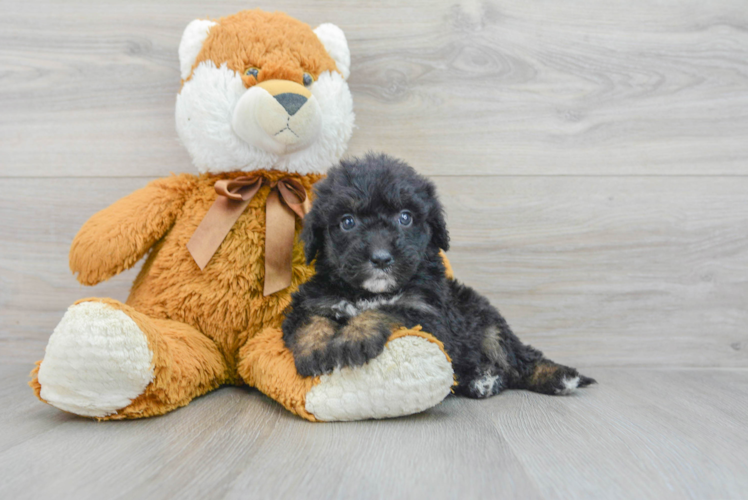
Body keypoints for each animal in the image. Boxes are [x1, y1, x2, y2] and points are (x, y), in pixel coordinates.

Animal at [282, 153, 596, 398]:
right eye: (347, 222)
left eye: (405, 217)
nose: (381, 258)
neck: (368, 292)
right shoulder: (311, 300)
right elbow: (310, 320)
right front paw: (315, 350)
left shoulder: (429, 314)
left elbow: (388, 309)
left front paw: (354, 336)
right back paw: (482, 380)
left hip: (488, 324)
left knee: (518, 360)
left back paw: (559, 377)